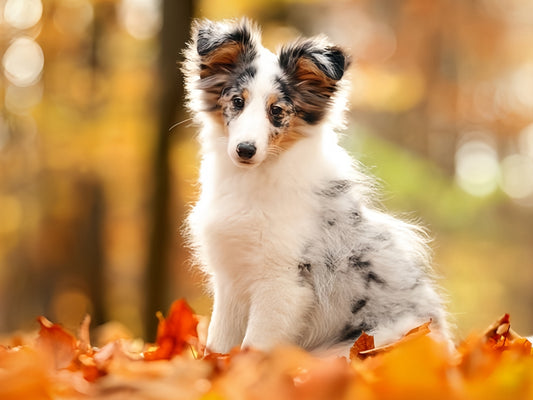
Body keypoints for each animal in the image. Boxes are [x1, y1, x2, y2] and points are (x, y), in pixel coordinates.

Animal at [183, 18, 448, 356]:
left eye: (277, 111)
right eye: (237, 102)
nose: (245, 150)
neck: (255, 181)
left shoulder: (282, 283)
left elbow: (254, 348)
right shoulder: (230, 279)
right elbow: (218, 345)